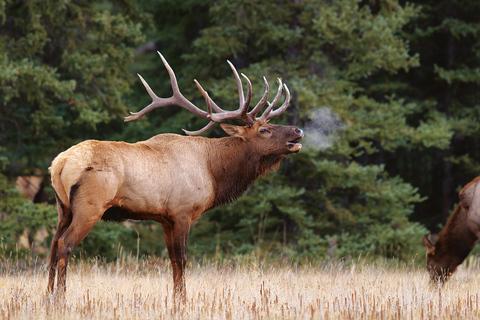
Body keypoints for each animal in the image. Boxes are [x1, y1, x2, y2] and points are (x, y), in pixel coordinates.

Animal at [47, 52, 304, 298]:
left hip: (63, 208)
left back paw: (48, 296)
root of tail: (60, 163)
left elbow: (171, 260)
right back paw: (61, 297)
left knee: (53, 244)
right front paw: (182, 300)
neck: (214, 173)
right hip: (89, 206)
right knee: (65, 244)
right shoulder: (183, 211)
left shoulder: (165, 218)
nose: (298, 130)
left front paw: (175, 298)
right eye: (264, 130)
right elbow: (182, 258)